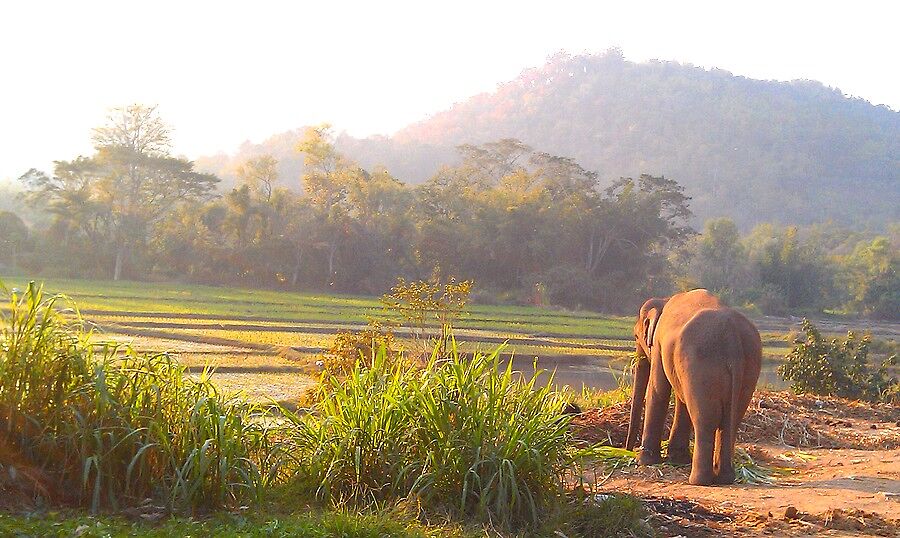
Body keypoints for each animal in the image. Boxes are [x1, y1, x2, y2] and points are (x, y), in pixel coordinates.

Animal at [624, 286, 760, 484]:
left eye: (636, 336)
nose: (627, 450)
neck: (664, 300)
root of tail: (732, 336)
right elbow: (681, 398)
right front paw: (676, 459)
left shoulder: (659, 344)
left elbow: (658, 390)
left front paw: (645, 462)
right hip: (749, 368)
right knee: (730, 421)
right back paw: (724, 478)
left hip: (701, 365)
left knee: (705, 418)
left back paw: (699, 480)